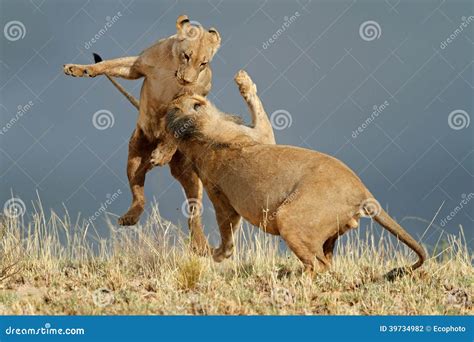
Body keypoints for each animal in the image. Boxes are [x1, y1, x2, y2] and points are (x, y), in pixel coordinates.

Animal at [62, 15, 223, 254]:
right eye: (186, 56)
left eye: (203, 63)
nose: (187, 80)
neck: (172, 69)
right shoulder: (136, 65)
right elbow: (106, 64)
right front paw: (78, 69)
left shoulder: (194, 97)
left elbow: (175, 127)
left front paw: (164, 150)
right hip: (135, 155)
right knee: (139, 195)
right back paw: (130, 216)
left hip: (191, 174)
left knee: (194, 213)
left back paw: (200, 243)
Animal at [165, 74, 428, 278]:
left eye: (175, 104)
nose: (175, 95)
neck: (196, 135)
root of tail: (363, 192)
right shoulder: (222, 189)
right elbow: (227, 229)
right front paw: (217, 254)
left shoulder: (260, 137)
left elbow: (259, 110)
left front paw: (243, 80)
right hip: (291, 219)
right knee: (320, 265)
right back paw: (292, 279)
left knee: (322, 262)